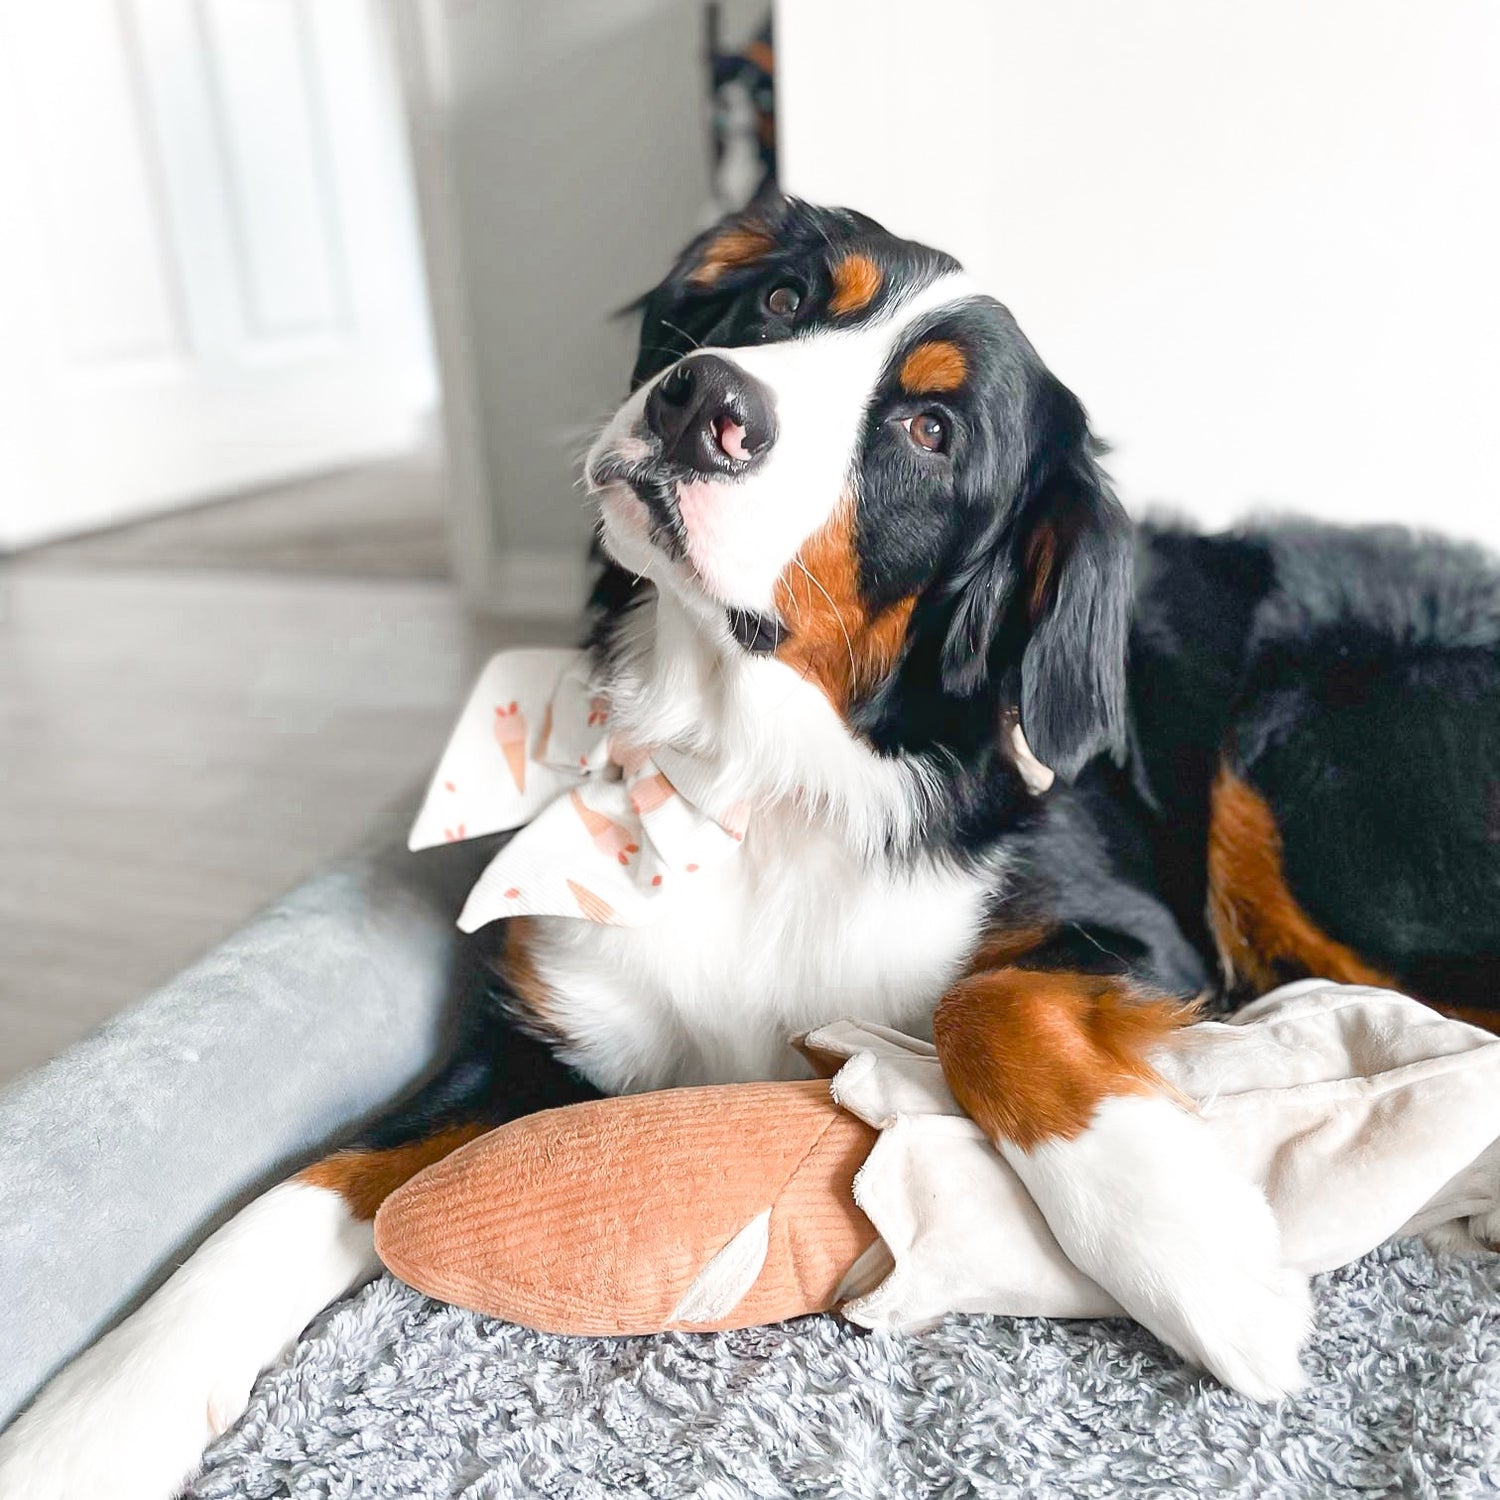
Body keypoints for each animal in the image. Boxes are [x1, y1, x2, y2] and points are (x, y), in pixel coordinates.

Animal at [2, 193, 1500, 1494]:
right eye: (782, 301)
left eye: (932, 428)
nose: (703, 401)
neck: (745, 780)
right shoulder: (532, 1038)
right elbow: (286, 1196)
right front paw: (93, 1418)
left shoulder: (1146, 930)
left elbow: (988, 1005)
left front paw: (1185, 1247)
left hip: (1290, 747)